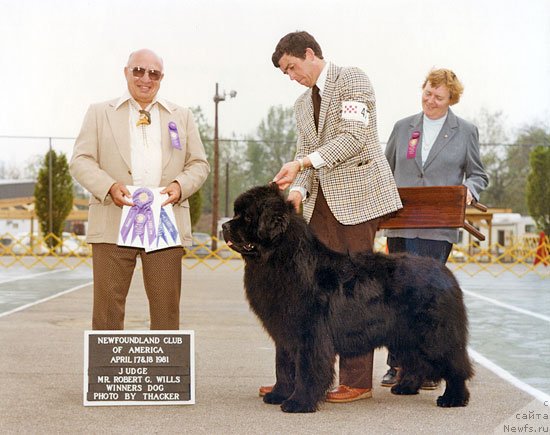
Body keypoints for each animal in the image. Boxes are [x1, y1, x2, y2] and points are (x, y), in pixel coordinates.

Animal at [222, 186, 472, 414]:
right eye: (237, 213)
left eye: (247, 217)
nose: (224, 226)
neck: (282, 258)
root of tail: (445, 272)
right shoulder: (285, 332)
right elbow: (283, 366)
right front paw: (278, 394)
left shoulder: (310, 334)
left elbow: (306, 369)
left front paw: (298, 403)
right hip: (404, 334)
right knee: (416, 361)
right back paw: (406, 387)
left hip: (434, 334)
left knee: (454, 365)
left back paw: (453, 398)